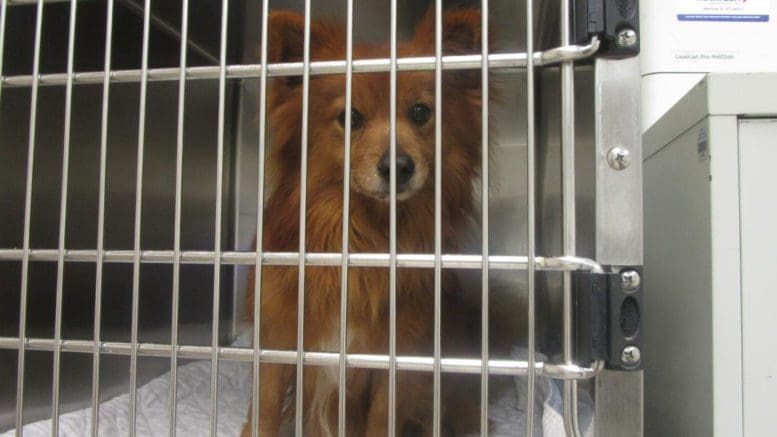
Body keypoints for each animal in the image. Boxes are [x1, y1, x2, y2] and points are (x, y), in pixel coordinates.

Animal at [239, 8, 488, 434]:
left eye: (420, 113)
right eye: (350, 118)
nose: (398, 167)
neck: (361, 236)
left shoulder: (398, 355)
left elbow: (382, 417)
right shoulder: (279, 337)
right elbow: (266, 409)